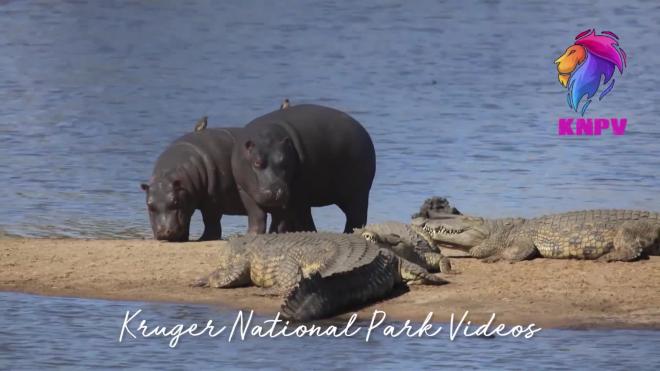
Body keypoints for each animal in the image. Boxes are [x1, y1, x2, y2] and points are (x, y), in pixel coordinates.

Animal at [232, 103, 376, 234]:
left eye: (285, 163)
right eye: (257, 163)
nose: (277, 191)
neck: (266, 138)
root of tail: (363, 131)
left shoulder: (295, 193)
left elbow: (283, 218)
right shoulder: (243, 189)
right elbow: (257, 216)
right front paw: (254, 234)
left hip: (358, 193)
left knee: (355, 217)